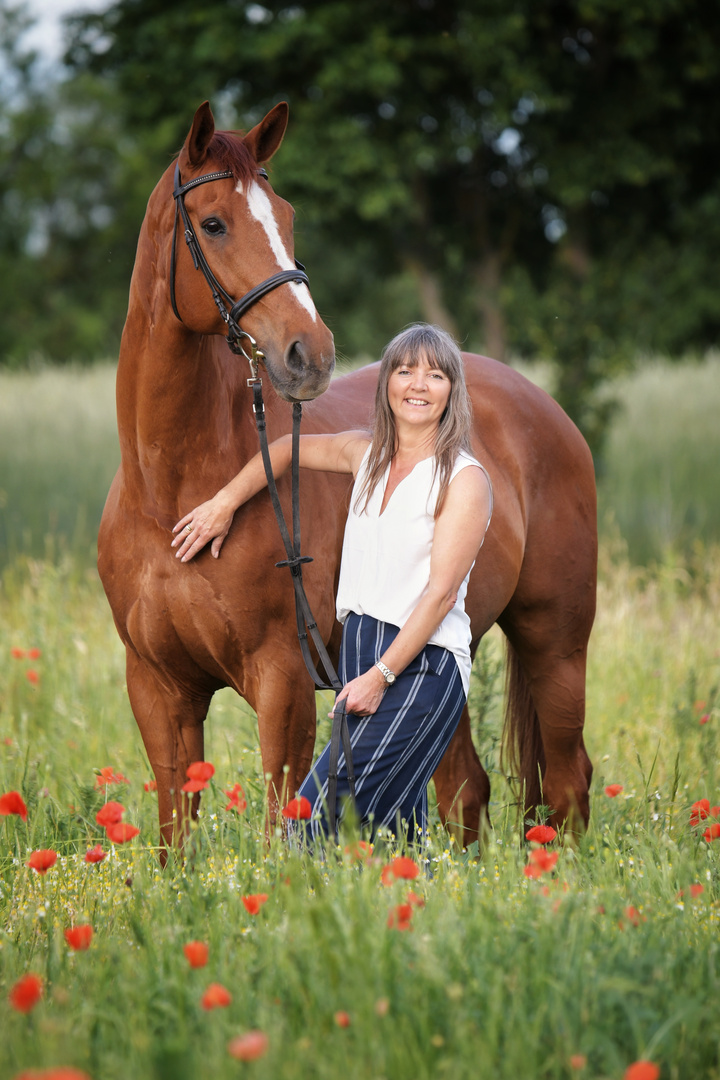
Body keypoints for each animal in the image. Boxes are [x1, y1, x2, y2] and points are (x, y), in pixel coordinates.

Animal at [101, 103, 595, 859]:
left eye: (286, 214)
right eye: (213, 223)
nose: (310, 353)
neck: (169, 493)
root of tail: (542, 407)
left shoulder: (281, 682)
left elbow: (280, 824)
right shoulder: (157, 689)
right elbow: (174, 838)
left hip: (556, 643)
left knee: (568, 782)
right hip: (444, 649)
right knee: (465, 790)